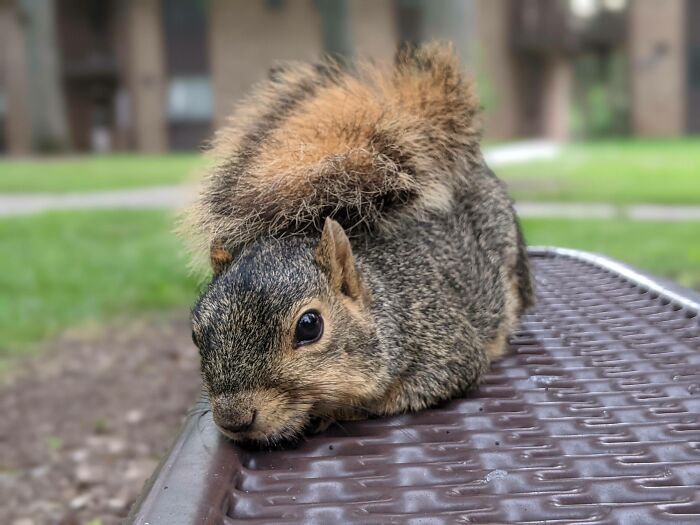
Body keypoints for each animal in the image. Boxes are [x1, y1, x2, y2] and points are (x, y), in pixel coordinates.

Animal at [187, 44, 536, 446]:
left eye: (309, 326)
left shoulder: (447, 349)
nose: (234, 418)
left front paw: (335, 411)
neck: (383, 301)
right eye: (195, 333)